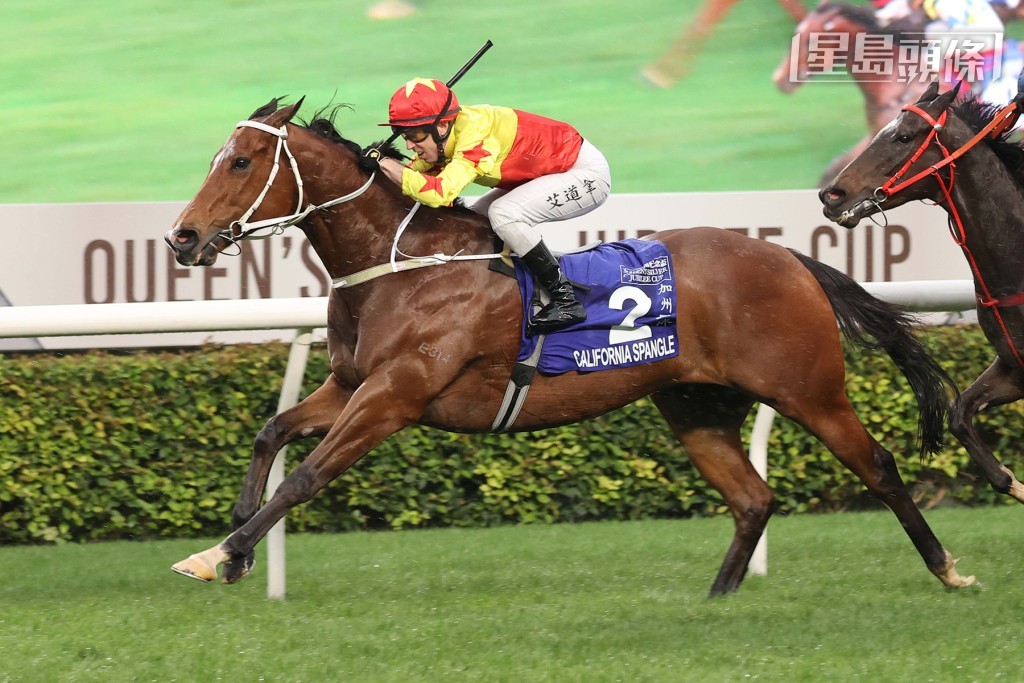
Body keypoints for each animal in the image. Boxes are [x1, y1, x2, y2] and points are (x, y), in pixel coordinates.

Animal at [163, 97, 975, 596]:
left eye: (239, 163)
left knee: (879, 467)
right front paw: (233, 539)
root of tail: (789, 257)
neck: (401, 262)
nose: (182, 237)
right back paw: (715, 600)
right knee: (753, 498)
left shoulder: (396, 394)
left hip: (807, 388)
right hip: (695, 405)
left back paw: (949, 570)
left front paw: (224, 554)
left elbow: (308, 476)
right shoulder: (349, 383)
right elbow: (272, 430)